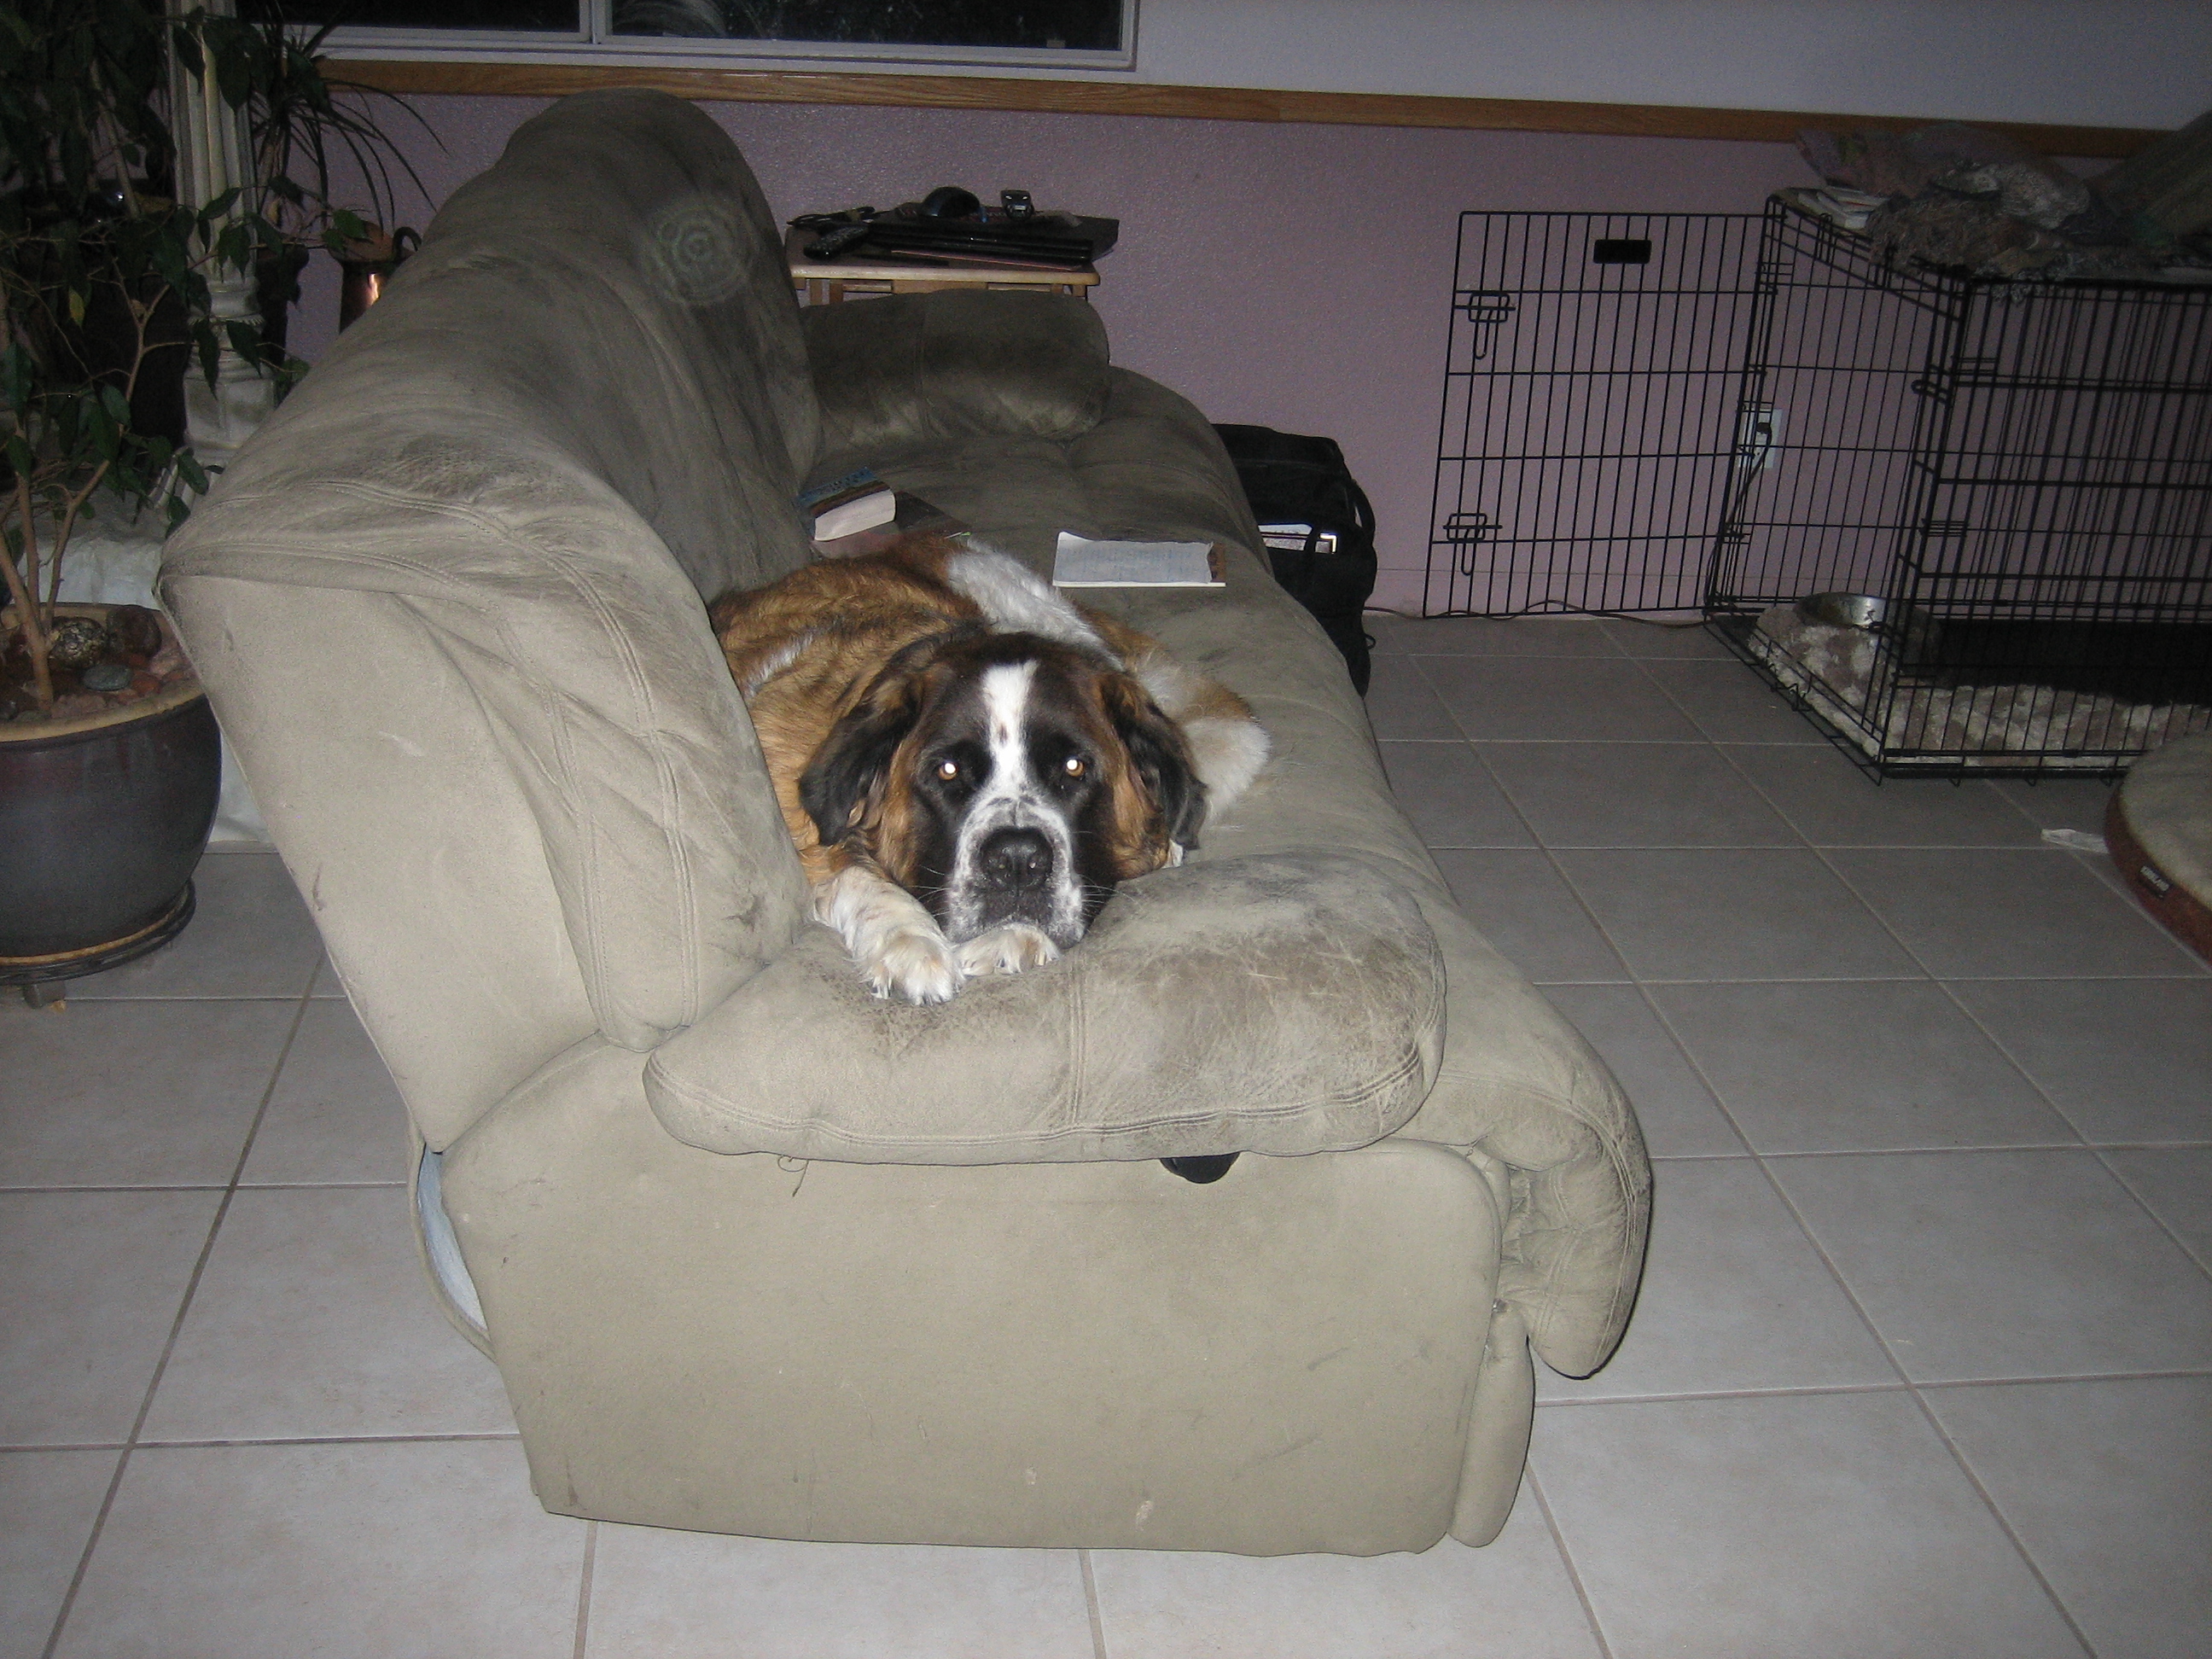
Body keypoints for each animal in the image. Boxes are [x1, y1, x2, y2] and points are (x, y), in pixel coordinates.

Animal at [709, 533, 1269, 1004]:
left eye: (1074, 766)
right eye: (948, 771)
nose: (1017, 861)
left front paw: (1007, 937)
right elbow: (851, 871)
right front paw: (909, 941)